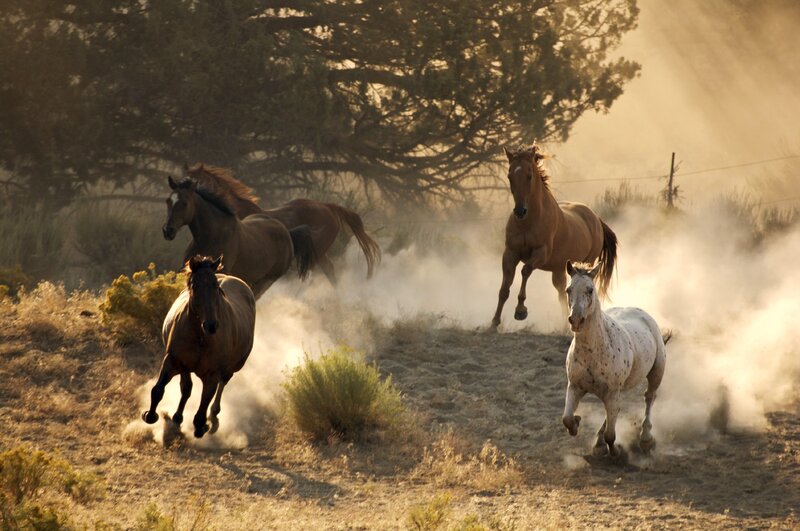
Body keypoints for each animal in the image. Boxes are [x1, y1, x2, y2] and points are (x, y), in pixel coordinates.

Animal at [141, 255, 256, 438]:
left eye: (216, 286)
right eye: (195, 285)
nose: (211, 325)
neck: (199, 337)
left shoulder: (211, 376)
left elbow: (202, 407)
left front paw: (201, 426)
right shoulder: (173, 361)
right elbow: (158, 390)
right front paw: (151, 415)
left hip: (231, 368)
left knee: (222, 384)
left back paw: (213, 417)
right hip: (186, 367)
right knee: (186, 388)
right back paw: (177, 418)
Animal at [162, 175, 314, 298]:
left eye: (185, 203)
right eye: (168, 200)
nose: (167, 230)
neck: (212, 235)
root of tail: (288, 233)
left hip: (266, 281)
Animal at [490, 143, 618, 329]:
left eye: (529, 175)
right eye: (510, 175)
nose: (520, 211)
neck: (528, 222)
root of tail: (596, 218)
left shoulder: (540, 253)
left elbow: (525, 271)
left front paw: (520, 310)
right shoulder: (510, 254)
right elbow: (504, 288)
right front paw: (494, 322)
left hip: (586, 262)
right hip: (559, 269)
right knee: (561, 292)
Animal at [561, 261, 668, 457]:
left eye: (590, 290)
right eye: (568, 289)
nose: (576, 320)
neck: (593, 351)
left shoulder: (611, 393)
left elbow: (611, 434)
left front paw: (615, 451)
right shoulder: (575, 387)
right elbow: (567, 419)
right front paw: (577, 423)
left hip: (657, 372)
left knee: (649, 397)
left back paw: (645, 439)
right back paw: (599, 440)